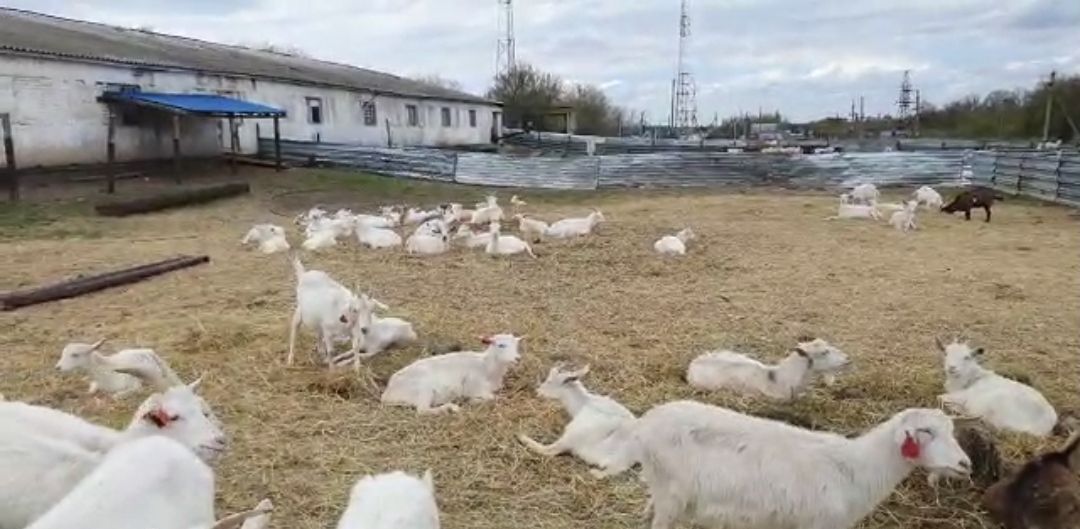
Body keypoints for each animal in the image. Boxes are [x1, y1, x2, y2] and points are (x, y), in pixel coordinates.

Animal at [382, 332, 524, 414]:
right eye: (501, 345)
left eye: (517, 345)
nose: (518, 358)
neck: (486, 367)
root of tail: (387, 393)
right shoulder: (474, 388)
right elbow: (491, 398)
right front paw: (472, 401)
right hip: (423, 389)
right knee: (422, 411)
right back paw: (451, 407)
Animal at [596, 401, 976, 529]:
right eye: (925, 432)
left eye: (952, 430)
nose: (965, 463)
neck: (858, 468)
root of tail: (645, 423)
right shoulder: (820, 524)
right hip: (671, 494)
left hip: (662, 488)